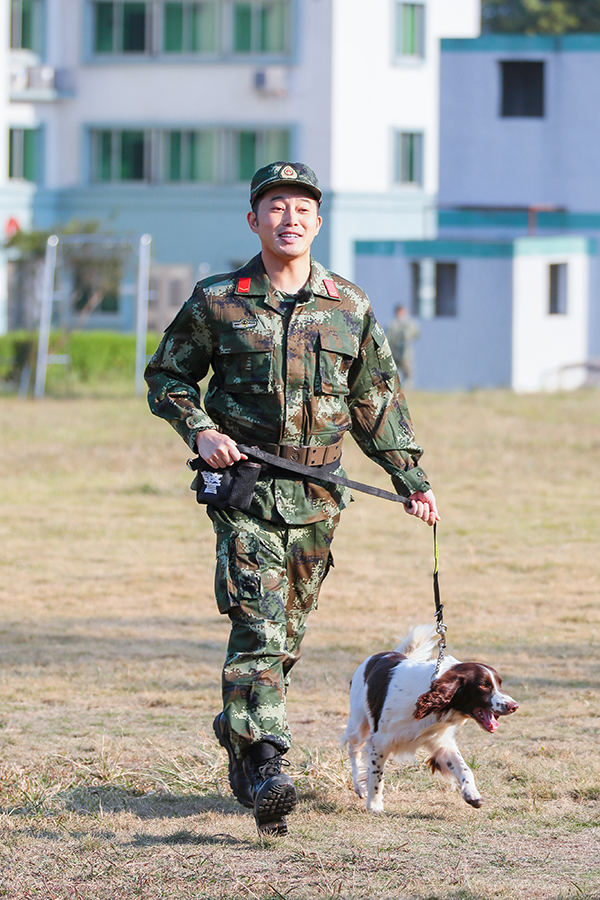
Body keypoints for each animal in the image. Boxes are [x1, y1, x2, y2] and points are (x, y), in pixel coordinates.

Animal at [340, 624, 516, 808]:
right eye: (483, 685)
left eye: (500, 684)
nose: (514, 706)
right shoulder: (380, 742)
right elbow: (376, 776)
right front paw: (374, 805)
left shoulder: (441, 743)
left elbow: (464, 768)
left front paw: (472, 794)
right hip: (358, 724)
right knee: (353, 750)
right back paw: (359, 786)